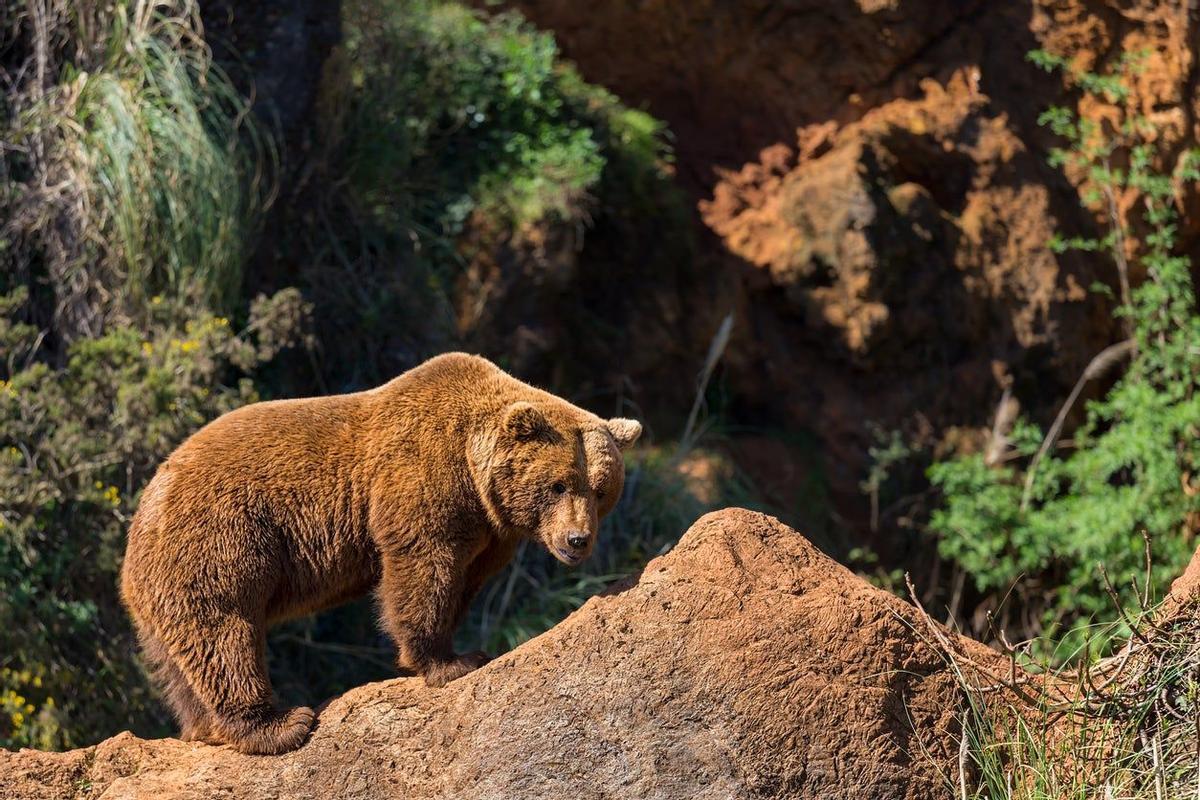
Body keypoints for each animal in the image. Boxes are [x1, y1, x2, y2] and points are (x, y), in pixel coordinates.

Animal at [119, 352, 642, 755]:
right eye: (559, 485)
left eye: (600, 490)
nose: (577, 540)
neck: (475, 481)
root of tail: (145, 506)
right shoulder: (421, 476)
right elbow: (422, 567)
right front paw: (448, 662)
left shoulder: (491, 534)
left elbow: (464, 581)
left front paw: (458, 647)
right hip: (219, 539)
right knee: (224, 630)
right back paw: (280, 723)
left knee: (180, 657)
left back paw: (202, 727)